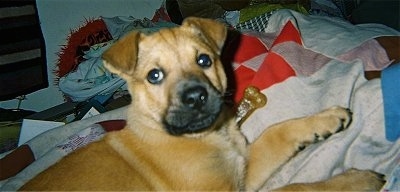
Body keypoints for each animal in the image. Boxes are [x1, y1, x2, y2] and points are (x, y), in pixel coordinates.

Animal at [19, 17, 384, 190]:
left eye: (204, 60)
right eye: (154, 76)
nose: (196, 97)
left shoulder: (243, 170)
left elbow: (275, 134)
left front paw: (326, 119)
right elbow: (299, 189)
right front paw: (356, 181)